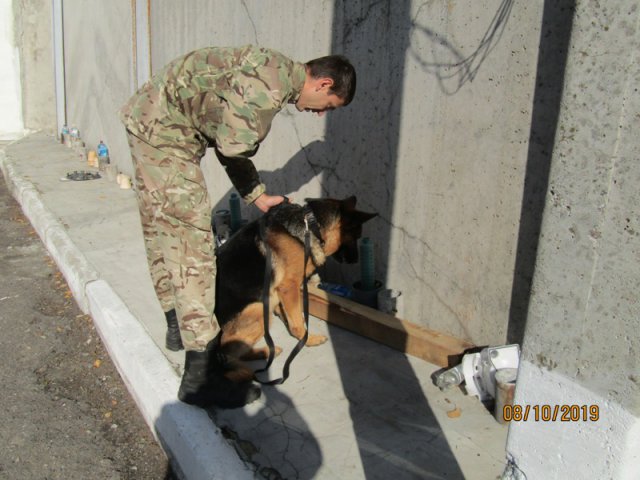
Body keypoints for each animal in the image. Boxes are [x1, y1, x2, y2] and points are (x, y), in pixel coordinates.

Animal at [216, 195, 376, 378]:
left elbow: (289, 313)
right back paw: (264, 352)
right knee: (230, 351)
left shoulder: (280, 290)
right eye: (356, 236)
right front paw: (308, 339)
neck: (311, 226)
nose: (355, 260)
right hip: (258, 309)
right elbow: (297, 323)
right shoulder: (289, 286)